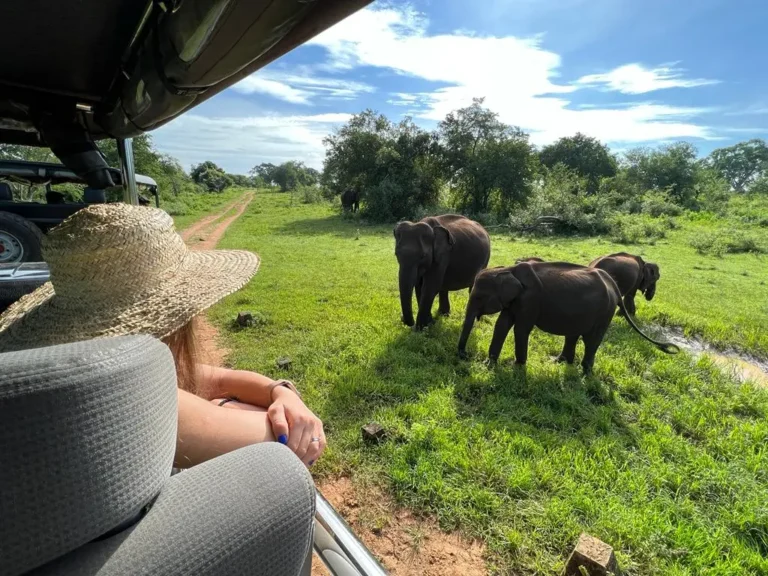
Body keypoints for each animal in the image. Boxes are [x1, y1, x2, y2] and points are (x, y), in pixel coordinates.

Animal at [456, 260, 680, 374]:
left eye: (479, 297)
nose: (464, 356)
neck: (507, 269)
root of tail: (613, 285)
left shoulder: (529, 300)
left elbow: (521, 329)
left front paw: (517, 367)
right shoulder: (516, 301)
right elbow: (502, 325)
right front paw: (489, 365)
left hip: (603, 312)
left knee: (591, 341)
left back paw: (585, 373)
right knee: (573, 335)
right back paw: (560, 362)